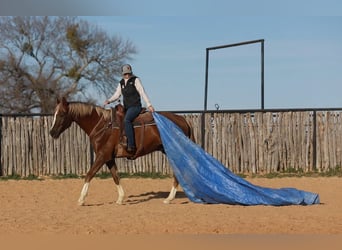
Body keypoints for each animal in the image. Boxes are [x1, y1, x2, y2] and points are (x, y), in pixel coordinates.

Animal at [49, 97, 194, 205]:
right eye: (54, 113)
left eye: (61, 114)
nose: (52, 132)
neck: (102, 125)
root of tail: (182, 119)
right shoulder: (109, 158)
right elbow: (116, 176)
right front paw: (120, 198)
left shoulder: (102, 156)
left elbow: (89, 174)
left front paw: (81, 199)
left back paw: (170, 198)